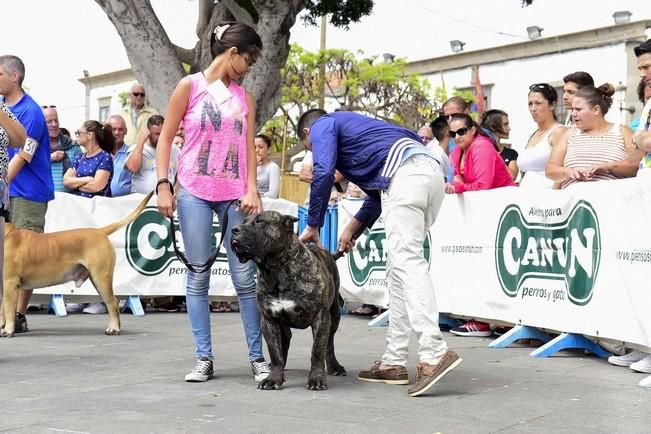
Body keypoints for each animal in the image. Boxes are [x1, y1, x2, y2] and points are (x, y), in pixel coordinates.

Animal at [0, 192, 153, 338]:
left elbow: (8, 309)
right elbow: (2, 310)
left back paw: (113, 328)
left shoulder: (10, 282)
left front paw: (8, 330)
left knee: (112, 302)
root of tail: (100, 231)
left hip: (101, 278)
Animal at [233, 210, 348, 390]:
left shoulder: (320, 318)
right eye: (243, 221)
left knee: (329, 343)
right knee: (284, 344)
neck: (276, 269)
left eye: (260, 221)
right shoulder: (269, 320)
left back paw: (334, 366)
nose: (234, 230)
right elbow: (274, 351)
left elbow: (317, 350)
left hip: (334, 316)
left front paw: (316, 378)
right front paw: (273, 378)